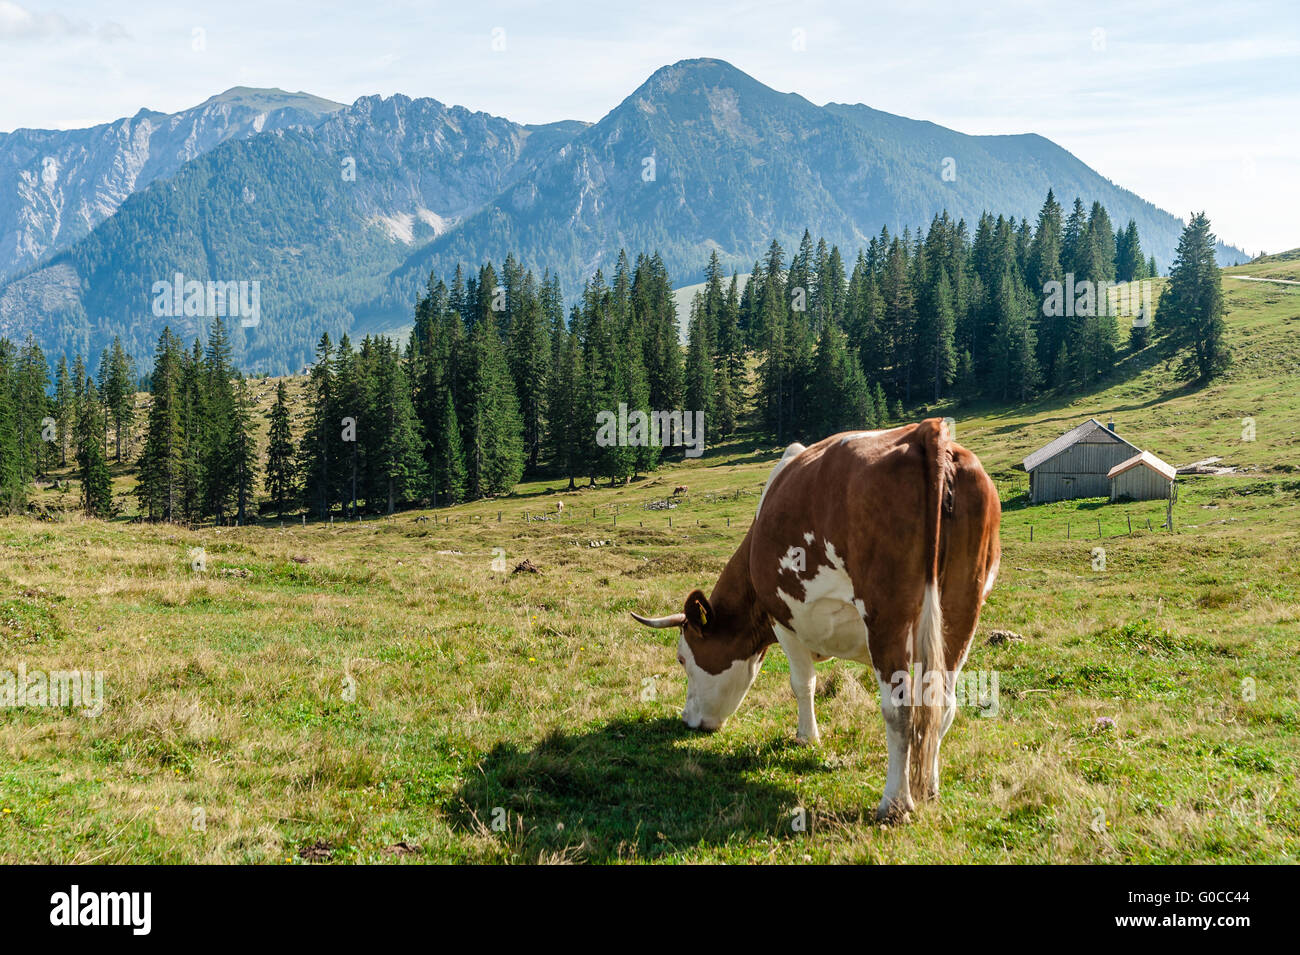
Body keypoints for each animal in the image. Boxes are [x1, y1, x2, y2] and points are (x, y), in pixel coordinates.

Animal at [631, 419, 1000, 822]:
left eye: (683, 659)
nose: (687, 719)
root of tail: (925, 431)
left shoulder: (783, 619)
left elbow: (802, 683)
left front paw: (807, 737)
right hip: (963, 607)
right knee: (941, 702)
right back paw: (929, 789)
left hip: (887, 614)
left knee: (900, 709)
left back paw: (894, 803)